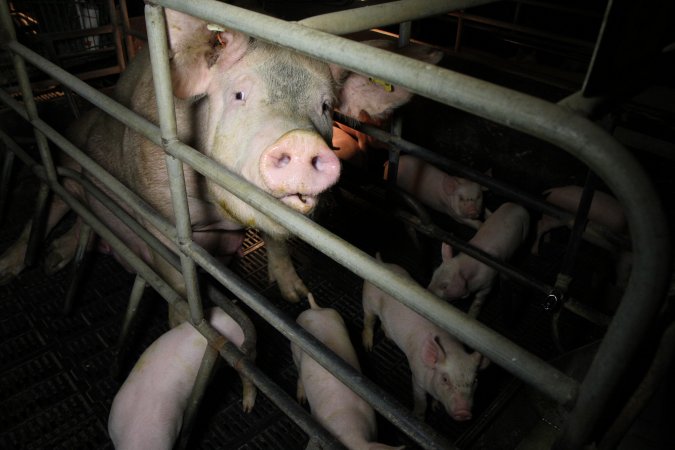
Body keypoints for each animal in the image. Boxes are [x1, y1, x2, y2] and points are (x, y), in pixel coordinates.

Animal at [0, 8, 438, 314]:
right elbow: (178, 275)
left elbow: (277, 241)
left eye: (326, 106)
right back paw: (26, 265)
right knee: (55, 196)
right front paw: (187, 313)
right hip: (69, 149)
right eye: (239, 94)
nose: (300, 140)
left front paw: (296, 294)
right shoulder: (158, 212)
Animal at [362, 258, 488, 420]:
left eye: (475, 381)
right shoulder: (417, 377)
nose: (464, 412)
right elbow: (421, 401)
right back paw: (367, 346)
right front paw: (418, 418)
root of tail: (381, 263)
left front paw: (436, 407)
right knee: (369, 321)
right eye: (445, 379)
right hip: (368, 302)